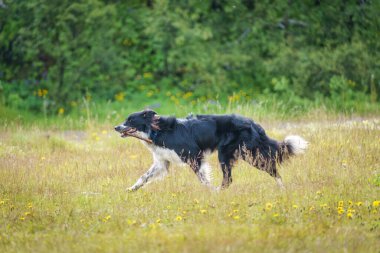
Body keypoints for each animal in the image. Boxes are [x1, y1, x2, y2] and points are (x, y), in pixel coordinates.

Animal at [114, 109, 308, 191]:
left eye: (130, 120)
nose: (116, 127)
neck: (157, 131)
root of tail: (253, 123)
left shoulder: (194, 156)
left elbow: (202, 178)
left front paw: (209, 192)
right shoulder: (162, 162)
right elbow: (144, 177)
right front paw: (131, 189)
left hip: (236, 154)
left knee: (233, 178)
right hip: (242, 154)